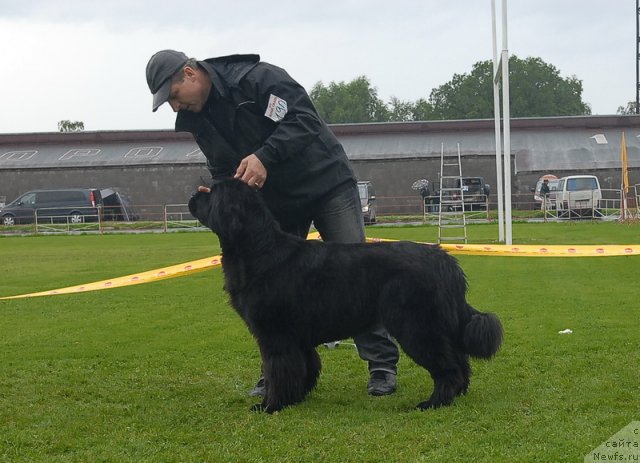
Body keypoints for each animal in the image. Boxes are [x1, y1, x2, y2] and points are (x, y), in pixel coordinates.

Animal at [188, 179, 502, 416]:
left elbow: (279, 371)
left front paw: (270, 406)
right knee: (460, 360)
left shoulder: (275, 335)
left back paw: (434, 402)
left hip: (416, 325)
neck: (258, 250)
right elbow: (304, 368)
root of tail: (446, 261)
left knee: (448, 366)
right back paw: (457, 395)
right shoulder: (298, 337)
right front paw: (295, 399)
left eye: (212, 192)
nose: (193, 195)